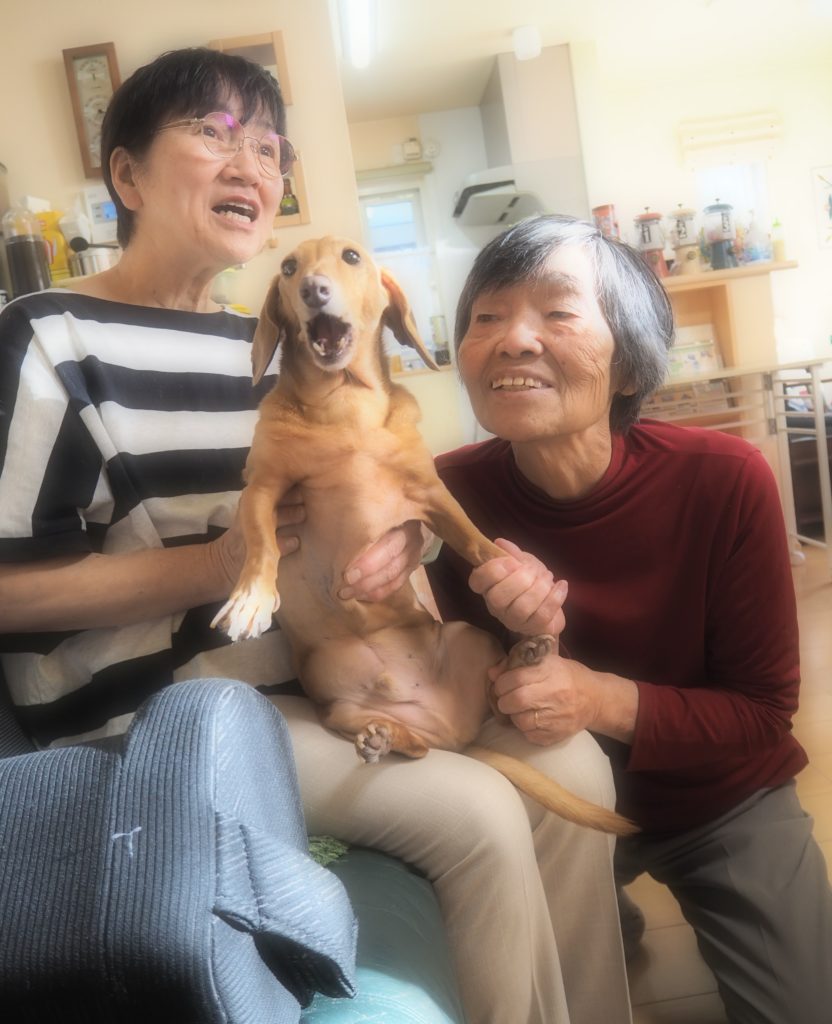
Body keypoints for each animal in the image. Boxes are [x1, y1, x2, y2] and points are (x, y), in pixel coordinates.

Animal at [212, 236, 636, 836]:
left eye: (350, 257)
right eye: (289, 267)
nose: (313, 289)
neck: (344, 408)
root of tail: (457, 737)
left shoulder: (433, 497)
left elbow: (478, 543)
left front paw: (517, 581)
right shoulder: (264, 492)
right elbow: (262, 544)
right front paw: (251, 598)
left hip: (466, 637)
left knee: (501, 694)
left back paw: (526, 654)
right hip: (340, 708)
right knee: (417, 747)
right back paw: (389, 736)